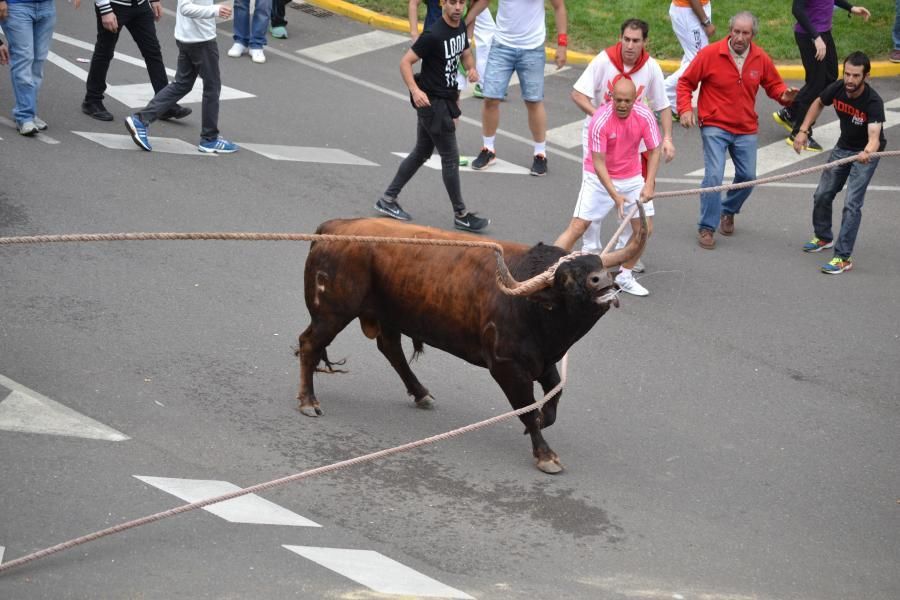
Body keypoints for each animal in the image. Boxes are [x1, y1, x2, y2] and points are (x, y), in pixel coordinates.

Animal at [298, 212, 644, 474]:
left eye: (597, 264)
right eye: (566, 278)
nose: (602, 281)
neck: (531, 305)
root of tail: (334, 228)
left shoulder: (543, 361)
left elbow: (553, 397)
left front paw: (544, 422)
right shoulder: (507, 367)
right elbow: (527, 409)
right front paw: (545, 454)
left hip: (386, 315)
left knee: (390, 348)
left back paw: (421, 394)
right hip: (332, 313)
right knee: (309, 344)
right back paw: (309, 402)